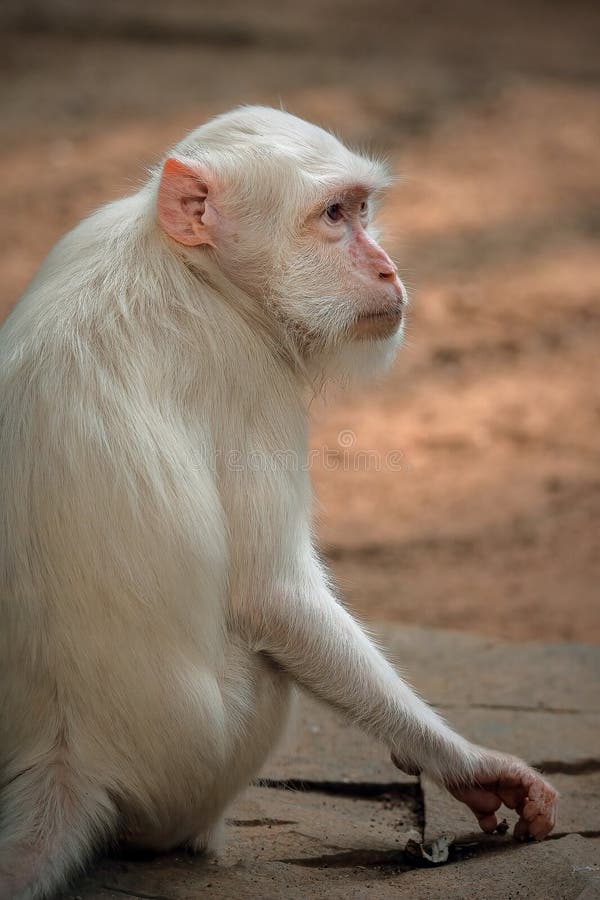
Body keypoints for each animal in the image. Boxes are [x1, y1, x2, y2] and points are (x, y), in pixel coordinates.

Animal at [0, 105, 556, 892]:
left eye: (362, 210)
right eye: (332, 216)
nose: (386, 268)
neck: (193, 268)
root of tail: (64, 759)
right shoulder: (248, 371)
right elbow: (273, 596)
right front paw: (467, 766)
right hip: (194, 765)